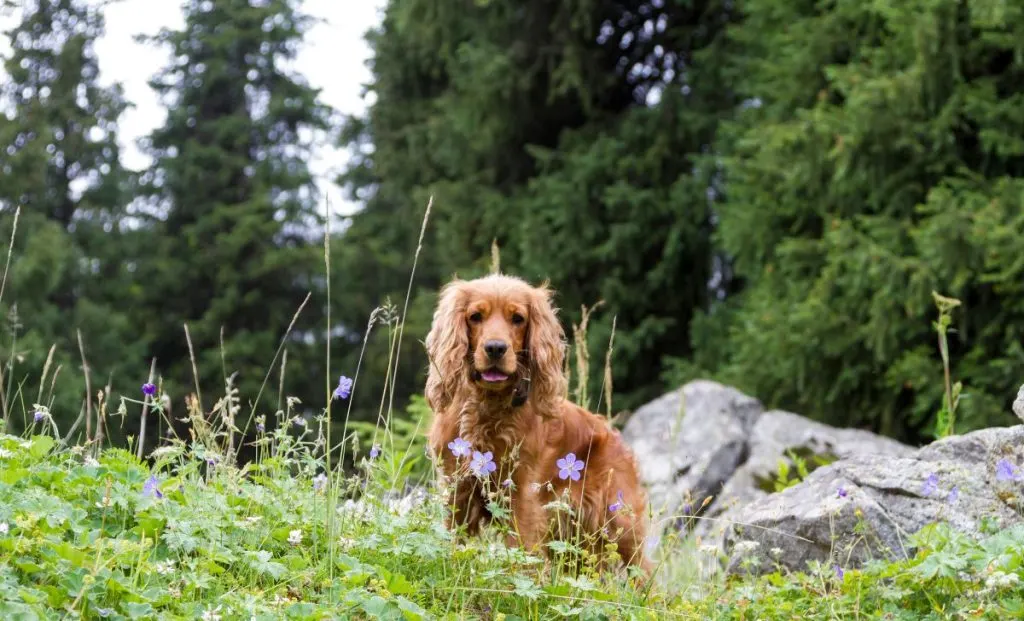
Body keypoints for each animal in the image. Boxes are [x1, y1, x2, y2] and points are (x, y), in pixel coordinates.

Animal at [425, 274, 651, 577]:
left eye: (518, 318)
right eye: (475, 316)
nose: (495, 348)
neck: (488, 406)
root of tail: (617, 437)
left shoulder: (522, 496)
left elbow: (519, 553)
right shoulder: (457, 488)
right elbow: (452, 540)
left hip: (618, 522)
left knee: (644, 572)